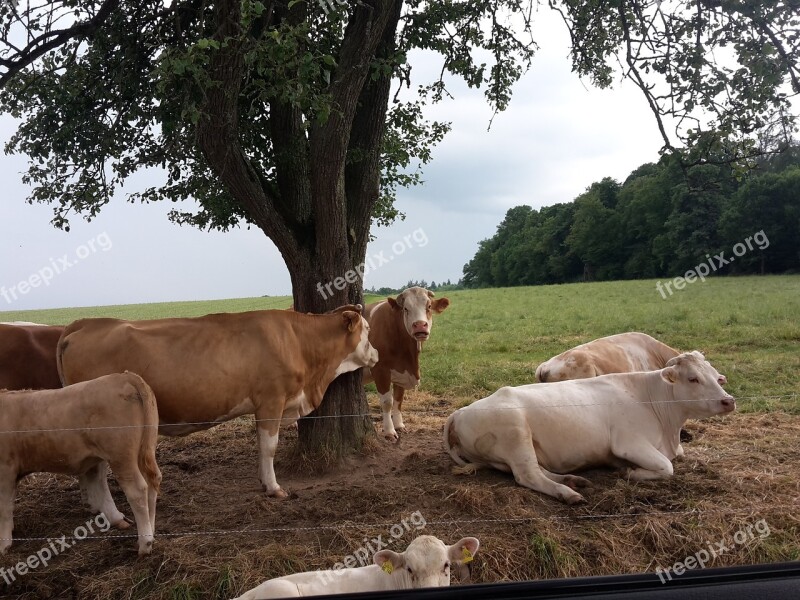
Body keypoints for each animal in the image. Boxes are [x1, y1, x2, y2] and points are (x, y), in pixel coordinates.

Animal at [0, 372, 162, 556]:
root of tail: (123, 376)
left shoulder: (5, 469)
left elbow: (4, 507)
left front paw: (3, 544)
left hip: (121, 457)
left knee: (137, 490)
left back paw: (145, 543)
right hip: (144, 449)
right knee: (152, 482)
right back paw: (150, 532)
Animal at [59, 308, 378, 500]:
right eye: (368, 330)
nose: (376, 353)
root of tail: (87, 323)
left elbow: (261, 446)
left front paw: (263, 481)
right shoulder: (271, 400)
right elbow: (269, 446)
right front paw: (274, 488)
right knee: (97, 472)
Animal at [362, 286, 450, 440]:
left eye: (428, 306)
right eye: (406, 309)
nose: (420, 325)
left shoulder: (401, 372)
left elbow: (398, 399)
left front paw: (399, 425)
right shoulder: (380, 370)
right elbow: (387, 402)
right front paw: (390, 431)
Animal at [446, 354, 736, 504]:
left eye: (716, 376)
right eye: (693, 378)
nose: (728, 400)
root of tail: (460, 411)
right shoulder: (628, 444)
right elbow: (667, 467)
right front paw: (630, 472)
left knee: (537, 469)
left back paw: (572, 480)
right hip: (516, 433)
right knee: (528, 475)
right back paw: (568, 493)